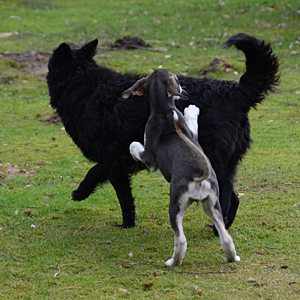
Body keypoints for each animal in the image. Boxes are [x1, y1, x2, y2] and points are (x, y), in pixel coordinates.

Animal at [46, 32, 278, 230]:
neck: (82, 83)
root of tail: (234, 93)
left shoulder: (113, 162)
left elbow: (115, 191)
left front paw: (121, 221)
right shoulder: (116, 160)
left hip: (212, 162)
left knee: (226, 193)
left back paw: (217, 229)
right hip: (225, 163)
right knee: (235, 197)